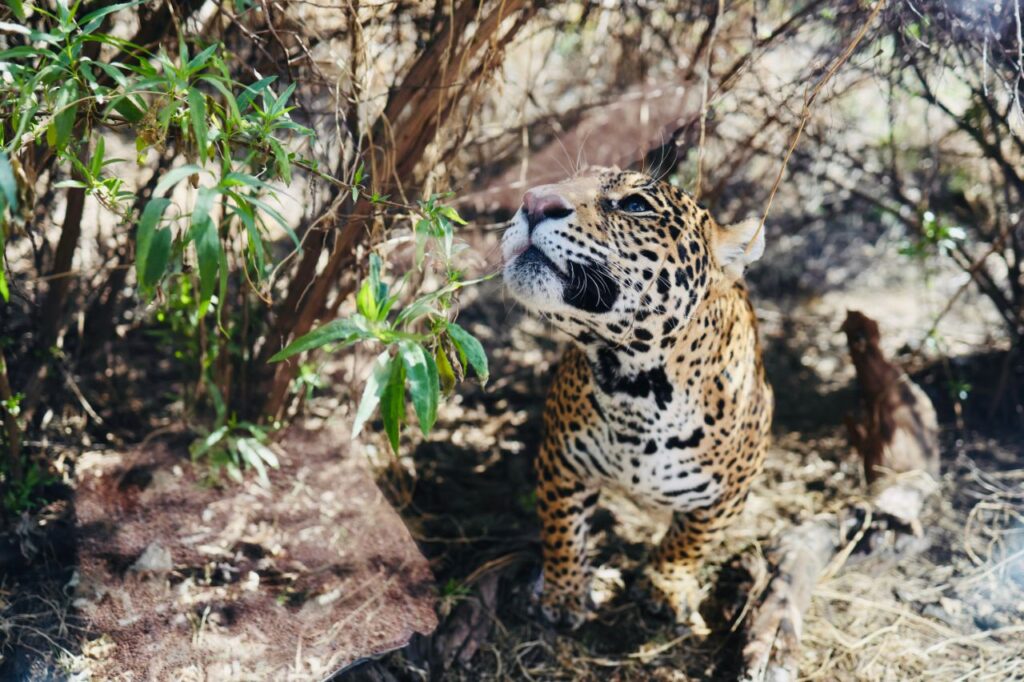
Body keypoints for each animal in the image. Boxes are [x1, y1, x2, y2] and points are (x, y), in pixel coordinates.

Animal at [501, 167, 773, 630]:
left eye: (634, 205)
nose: (534, 201)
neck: (638, 391)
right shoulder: (561, 460)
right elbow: (562, 529)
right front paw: (563, 592)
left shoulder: (729, 494)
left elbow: (691, 540)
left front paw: (665, 586)